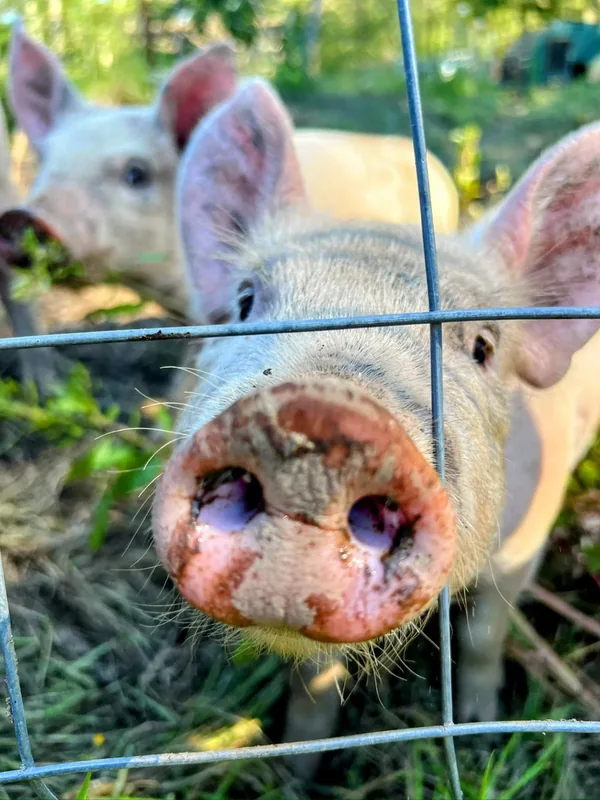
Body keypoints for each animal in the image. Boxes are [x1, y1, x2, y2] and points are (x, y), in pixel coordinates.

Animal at [151, 78, 600, 776]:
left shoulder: (527, 541)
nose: (320, 415)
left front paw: (480, 728)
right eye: (247, 303)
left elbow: (483, 633)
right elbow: (313, 677)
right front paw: (300, 768)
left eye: (480, 346)